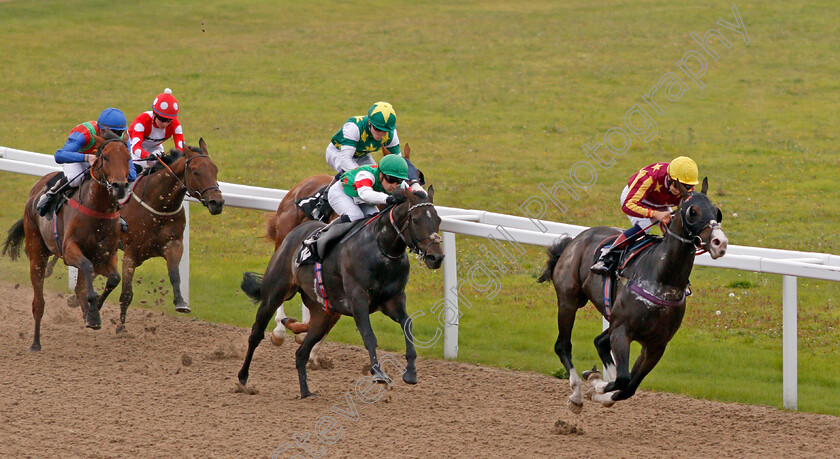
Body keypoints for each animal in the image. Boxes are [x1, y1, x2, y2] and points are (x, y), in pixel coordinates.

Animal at [1, 131, 131, 350]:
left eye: (129, 158)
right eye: (105, 157)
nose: (120, 187)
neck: (98, 208)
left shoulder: (106, 254)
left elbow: (113, 278)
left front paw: (93, 313)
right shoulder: (70, 250)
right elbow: (86, 268)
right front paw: (93, 310)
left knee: (81, 285)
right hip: (37, 252)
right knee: (39, 301)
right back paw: (35, 343)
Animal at [118, 138, 225, 328]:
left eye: (215, 170)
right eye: (196, 171)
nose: (217, 203)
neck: (158, 204)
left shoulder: (174, 243)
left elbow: (175, 274)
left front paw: (181, 303)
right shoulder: (131, 252)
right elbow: (126, 293)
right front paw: (120, 329)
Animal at [236, 187, 446, 398]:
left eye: (438, 220)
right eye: (416, 220)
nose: (436, 257)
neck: (380, 250)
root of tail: (292, 234)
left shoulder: (394, 300)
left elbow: (407, 325)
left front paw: (410, 372)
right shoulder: (358, 300)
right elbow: (369, 336)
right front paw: (378, 373)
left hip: (323, 314)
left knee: (301, 352)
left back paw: (306, 392)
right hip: (274, 294)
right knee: (256, 334)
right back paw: (243, 379)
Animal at [540, 179, 728, 414]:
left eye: (717, 212)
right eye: (693, 211)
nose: (720, 243)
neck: (662, 280)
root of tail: (576, 239)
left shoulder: (656, 345)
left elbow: (628, 387)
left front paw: (600, 387)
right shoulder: (622, 331)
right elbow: (623, 378)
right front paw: (598, 386)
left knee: (599, 342)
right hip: (569, 301)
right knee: (563, 346)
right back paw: (576, 395)